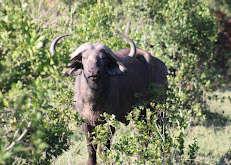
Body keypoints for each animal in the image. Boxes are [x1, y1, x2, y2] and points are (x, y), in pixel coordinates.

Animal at [49, 33, 167, 165]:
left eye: (102, 58)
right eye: (84, 57)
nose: (94, 72)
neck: (92, 101)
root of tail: (161, 65)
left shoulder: (110, 120)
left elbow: (104, 148)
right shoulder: (85, 121)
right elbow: (91, 148)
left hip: (158, 107)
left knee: (159, 131)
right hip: (139, 113)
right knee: (143, 134)